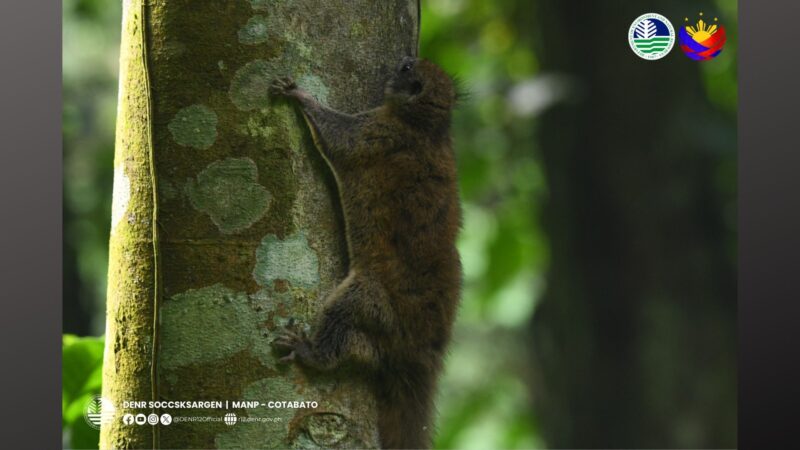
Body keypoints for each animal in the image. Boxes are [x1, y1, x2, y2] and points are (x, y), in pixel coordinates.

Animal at [270, 57, 462, 450]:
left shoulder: (376, 133)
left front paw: (299, 96)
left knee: (346, 315)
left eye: (407, 68)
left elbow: (339, 139)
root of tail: (420, 349)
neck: (426, 128)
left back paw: (314, 354)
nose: (402, 59)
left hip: (374, 301)